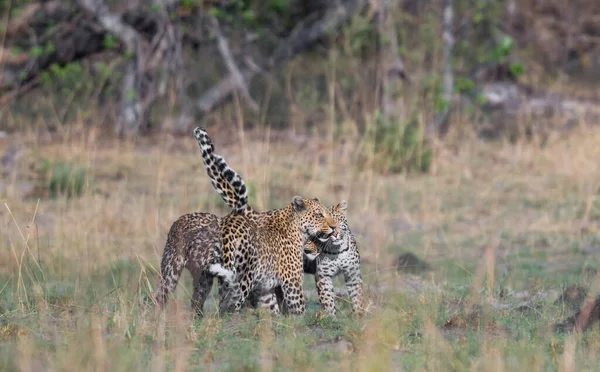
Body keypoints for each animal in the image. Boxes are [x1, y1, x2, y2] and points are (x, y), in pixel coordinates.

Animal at [196, 126, 338, 316]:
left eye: (327, 214)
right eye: (319, 215)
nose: (333, 227)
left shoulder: (267, 287)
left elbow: (273, 309)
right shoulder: (292, 281)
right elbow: (299, 309)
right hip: (243, 277)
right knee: (232, 304)